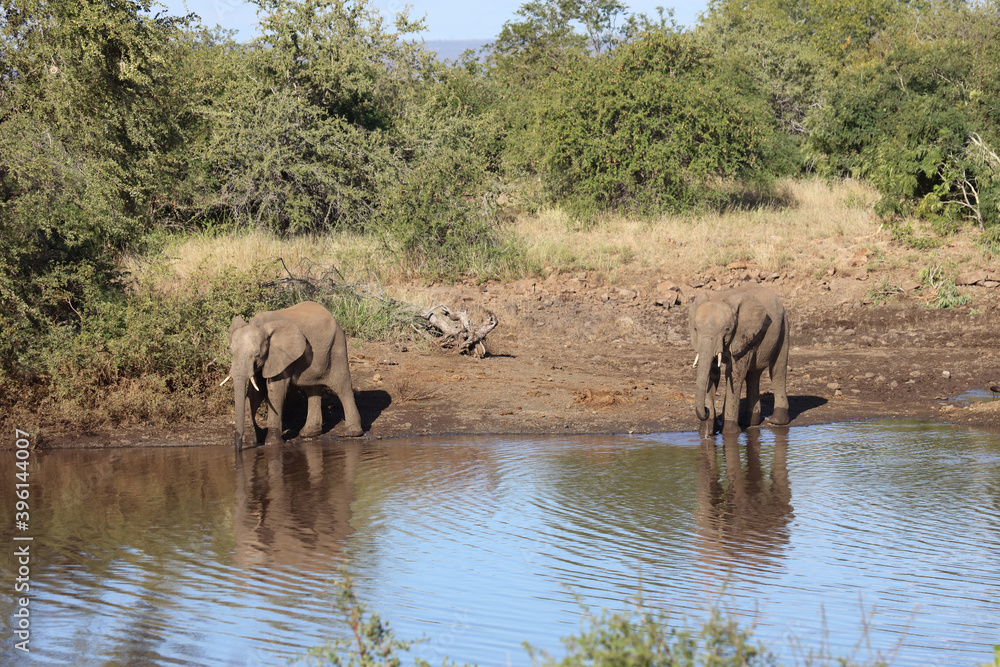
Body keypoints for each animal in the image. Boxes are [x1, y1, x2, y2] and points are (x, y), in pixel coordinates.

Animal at [226, 301, 363, 450]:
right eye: (231, 353)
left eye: (257, 354)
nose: (238, 449)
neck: (260, 325)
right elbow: (256, 391)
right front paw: (251, 441)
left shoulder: (281, 356)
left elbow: (275, 390)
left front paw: (272, 444)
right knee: (312, 388)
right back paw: (309, 433)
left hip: (337, 347)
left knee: (342, 387)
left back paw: (351, 433)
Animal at [688, 285, 790, 437]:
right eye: (695, 329)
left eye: (727, 329)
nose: (706, 410)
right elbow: (713, 374)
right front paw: (706, 432)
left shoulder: (741, 334)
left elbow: (734, 374)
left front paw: (729, 432)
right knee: (753, 375)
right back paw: (749, 422)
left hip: (784, 327)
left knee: (777, 371)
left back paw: (777, 422)